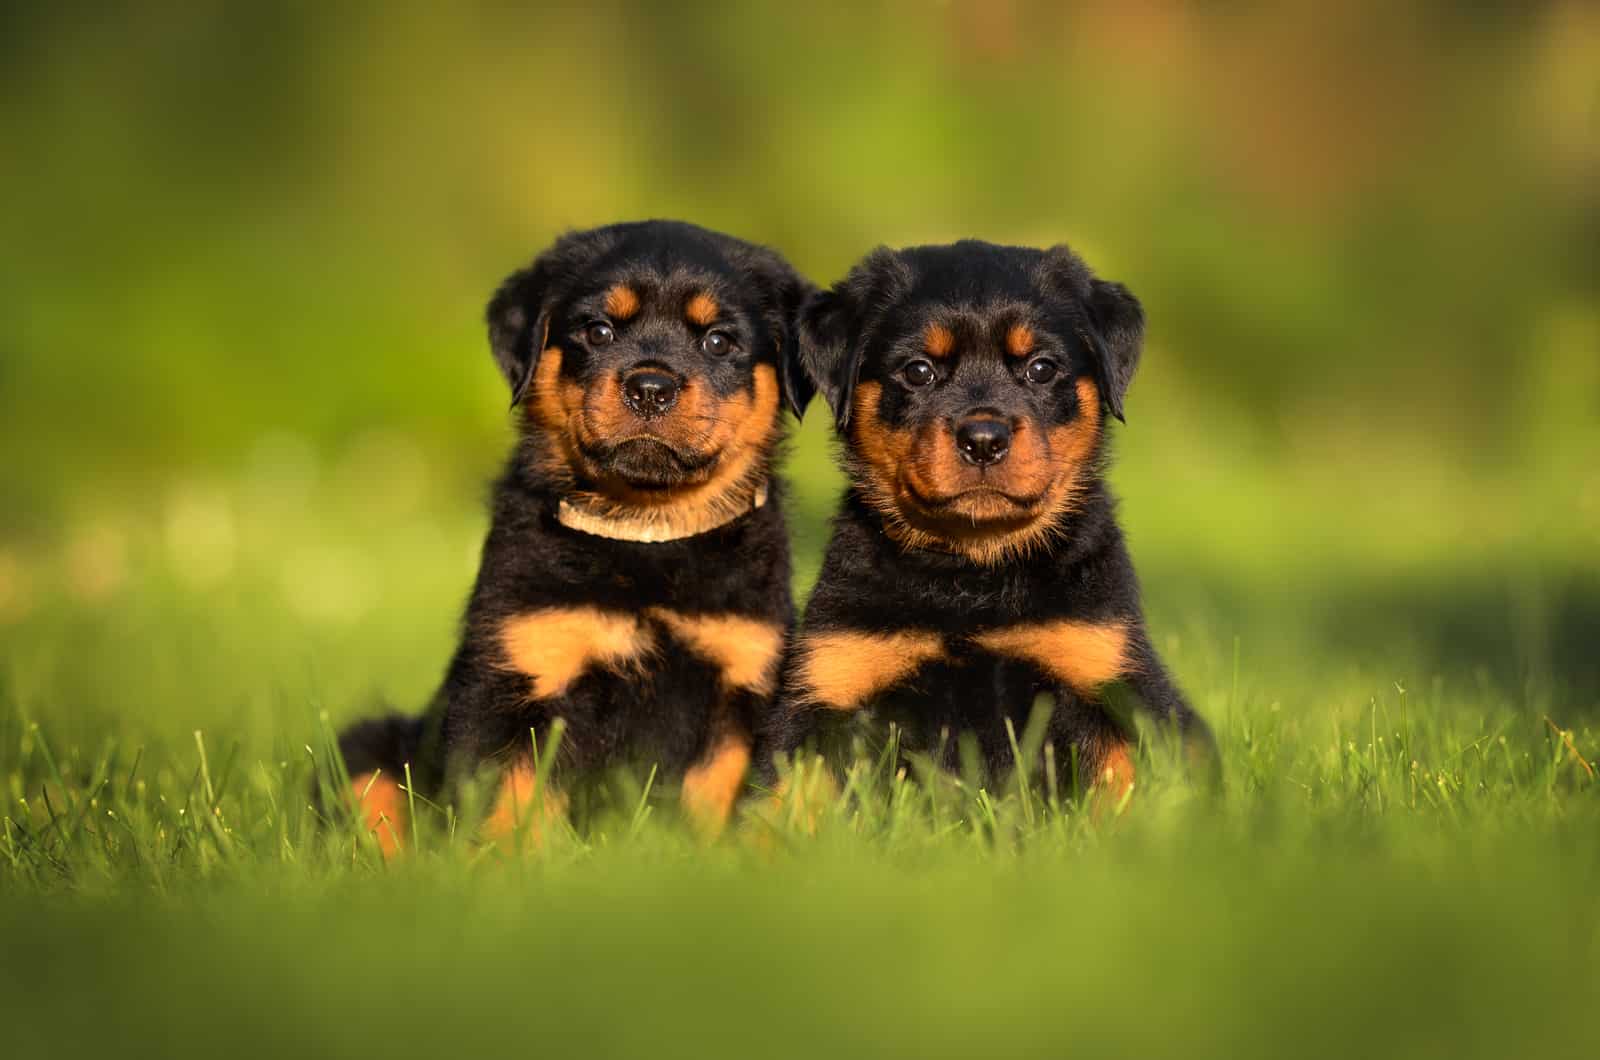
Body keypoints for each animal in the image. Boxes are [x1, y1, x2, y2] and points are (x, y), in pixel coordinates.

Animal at [337, 219, 812, 851]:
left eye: (718, 341)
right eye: (598, 330)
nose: (650, 387)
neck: (647, 532)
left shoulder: (740, 683)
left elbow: (712, 798)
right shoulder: (520, 676)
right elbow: (509, 804)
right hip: (370, 748)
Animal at [771, 243, 1209, 807]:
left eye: (1041, 368)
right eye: (918, 371)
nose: (983, 439)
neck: (973, 571)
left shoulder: (1105, 669)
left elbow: (1124, 784)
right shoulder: (833, 681)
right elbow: (785, 797)